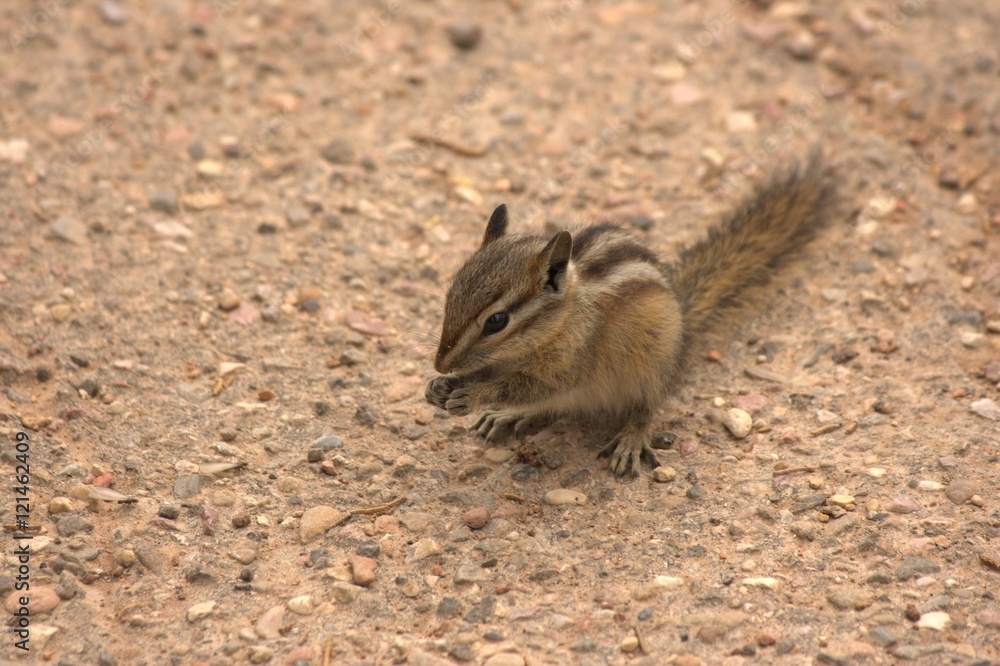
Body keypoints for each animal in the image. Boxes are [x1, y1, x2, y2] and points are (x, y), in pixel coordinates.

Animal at [425, 157, 835, 476]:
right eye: (451, 293)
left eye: (496, 321)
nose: (441, 363)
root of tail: (682, 324)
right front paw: (440, 387)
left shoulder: (567, 364)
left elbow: (527, 387)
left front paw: (474, 394)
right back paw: (506, 417)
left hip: (649, 367)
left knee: (645, 407)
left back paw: (631, 439)